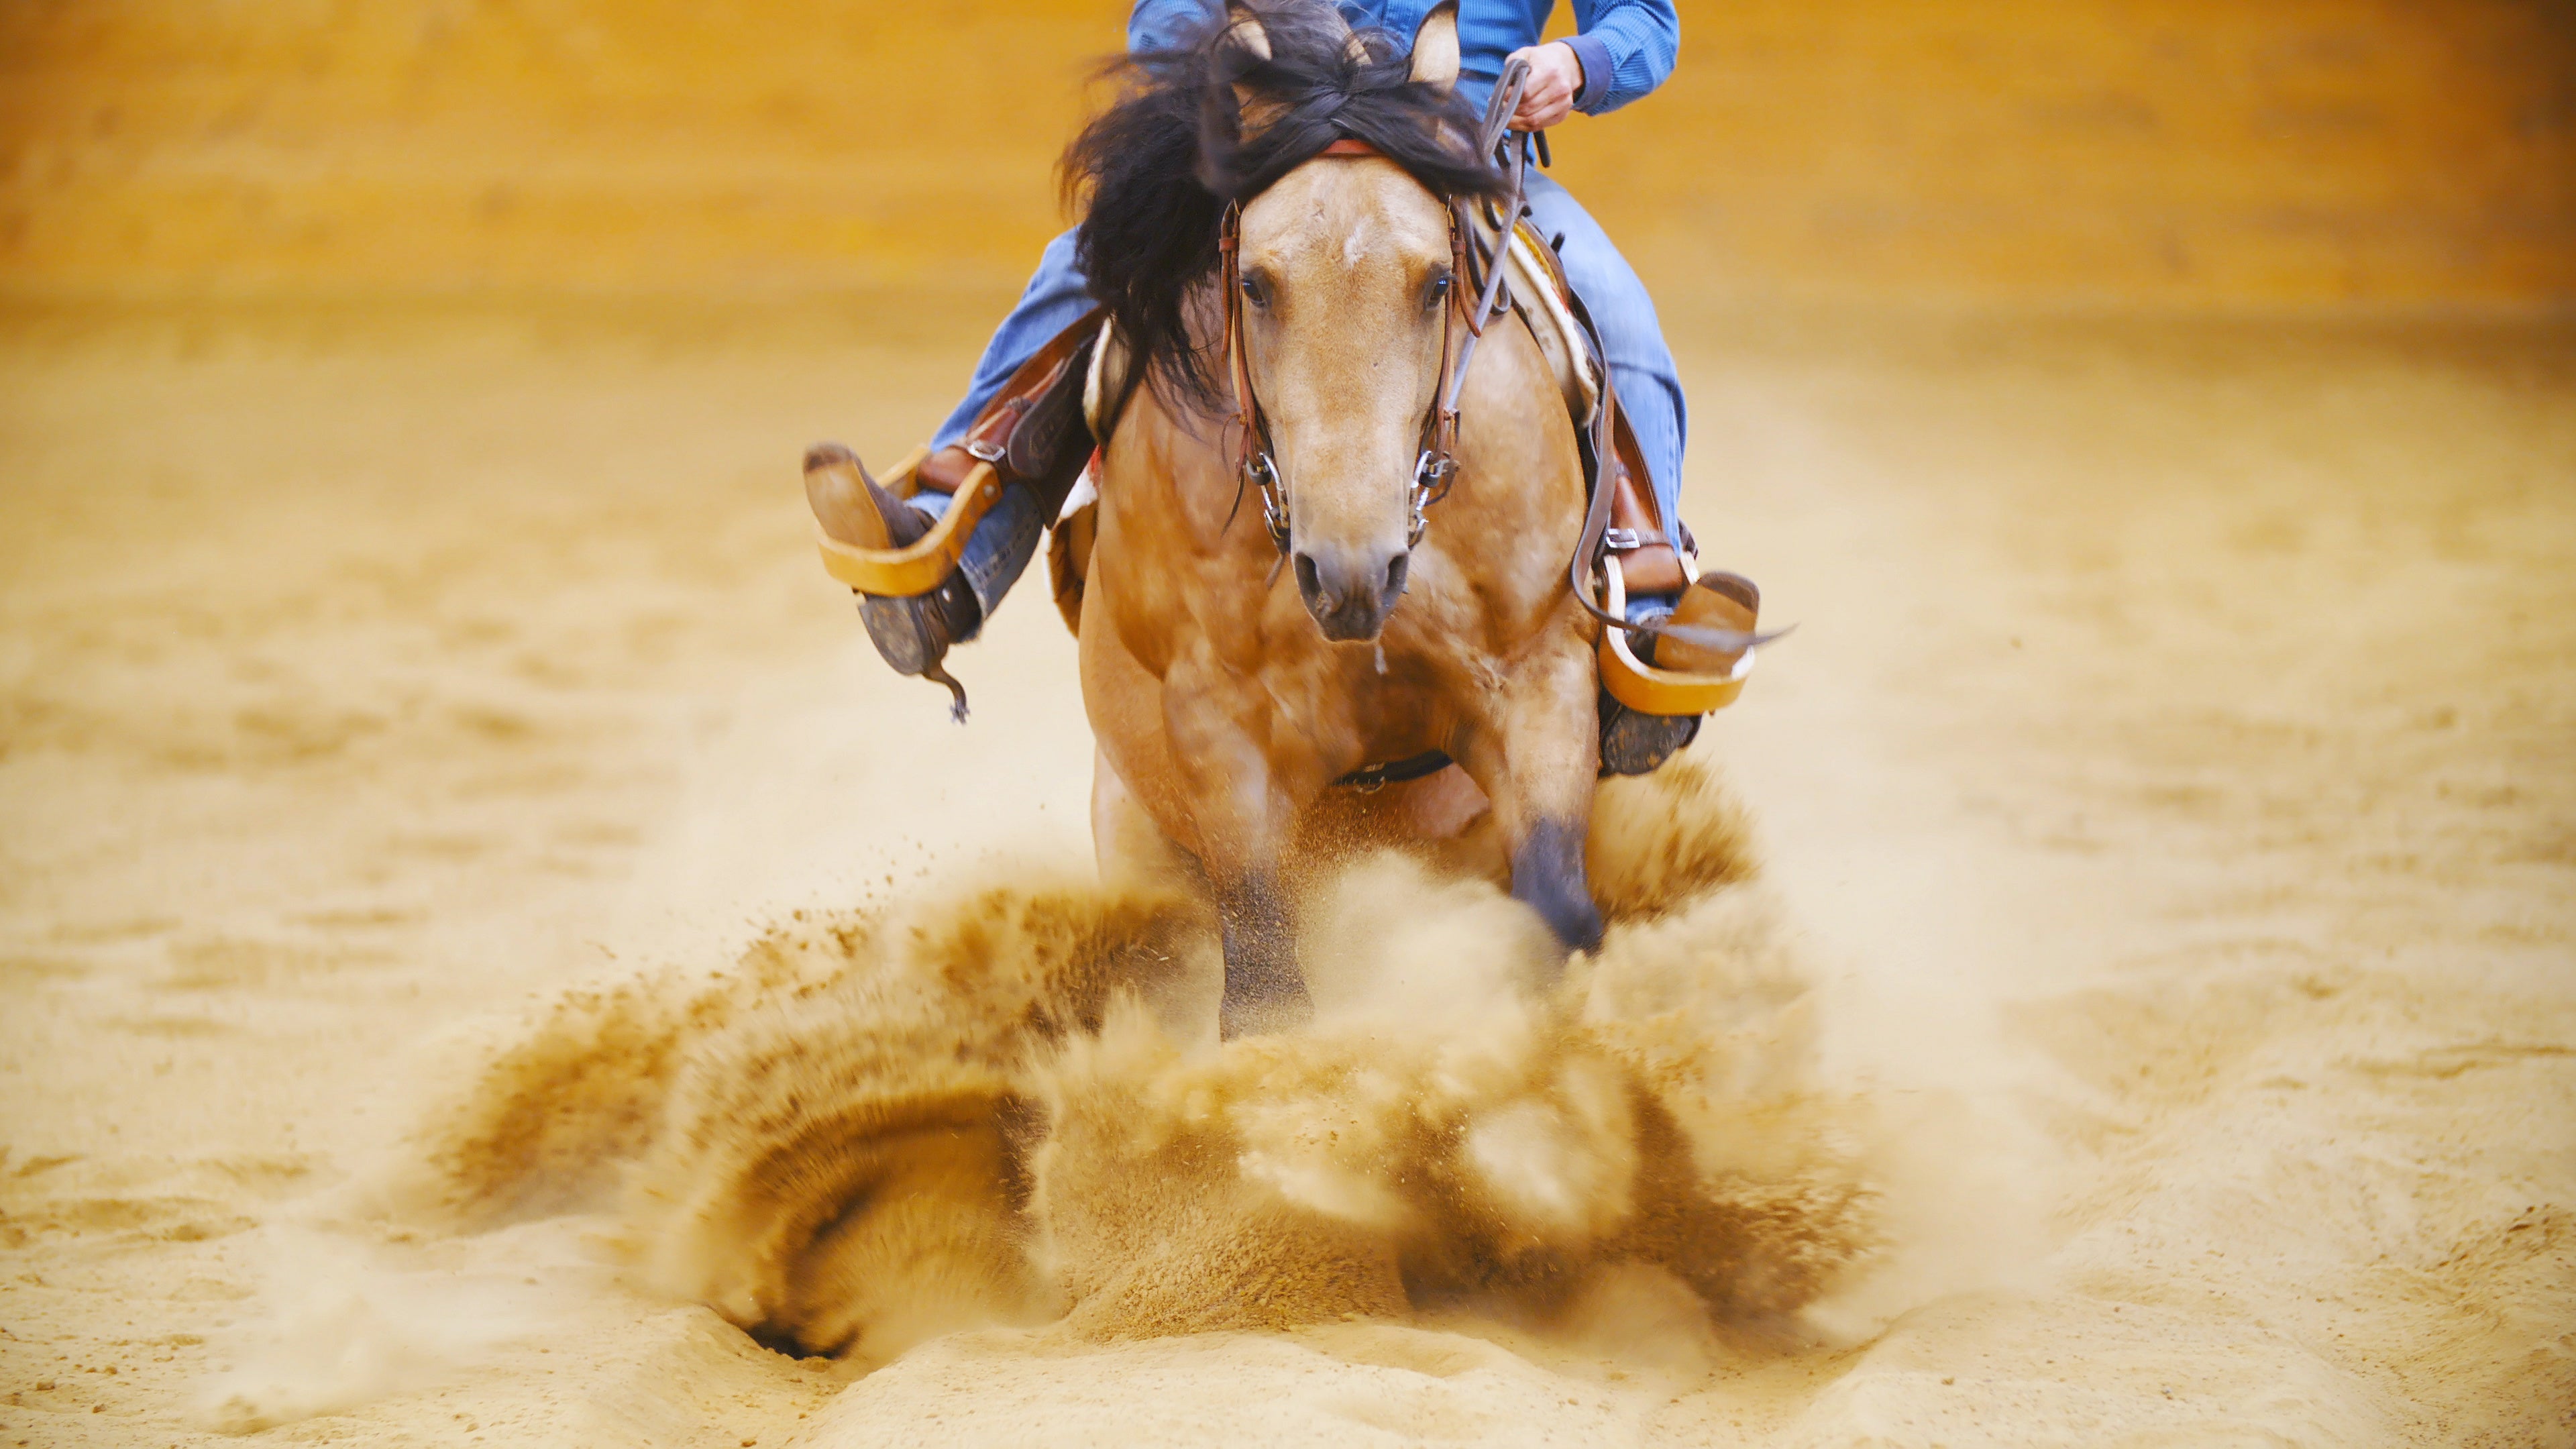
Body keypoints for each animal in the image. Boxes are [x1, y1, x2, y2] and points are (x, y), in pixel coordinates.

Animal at [1072, 1, 1610, 1037]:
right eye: (1254, 283)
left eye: (1437, 281)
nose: (1352, 572)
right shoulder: (1217, 727)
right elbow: (1265, 985)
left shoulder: (1539, 673)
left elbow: (1560, 914)